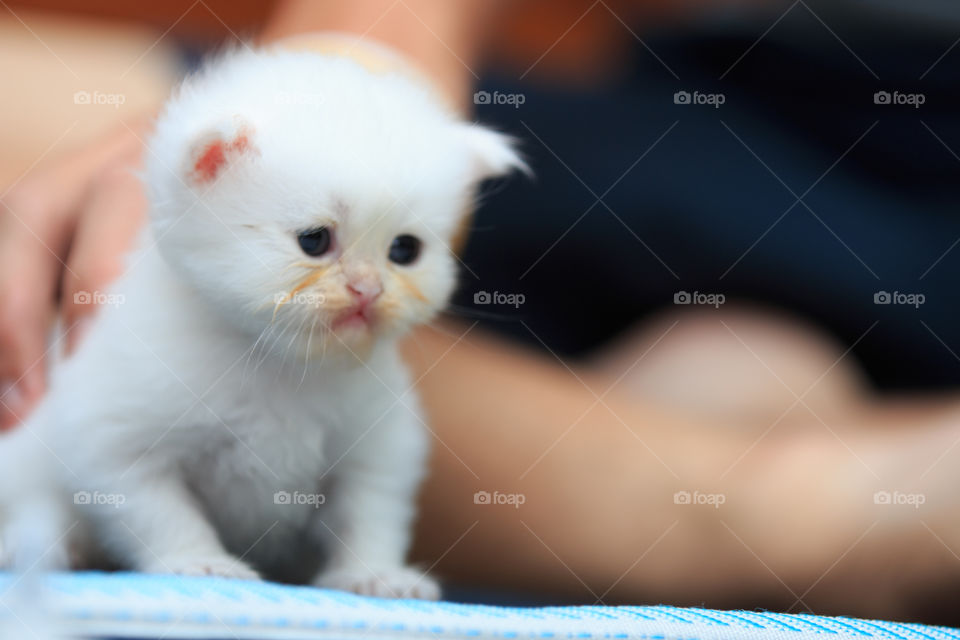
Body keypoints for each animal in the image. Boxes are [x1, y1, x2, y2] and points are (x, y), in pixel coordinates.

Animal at [0, 48, 524, 600]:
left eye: (404, 250)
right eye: (314, 240)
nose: (369, 290)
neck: (279, 360)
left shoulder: (375, 447)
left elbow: (368, 514)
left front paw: (374, 573)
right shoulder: (115, 439)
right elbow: (161, 511)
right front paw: (200, 562)